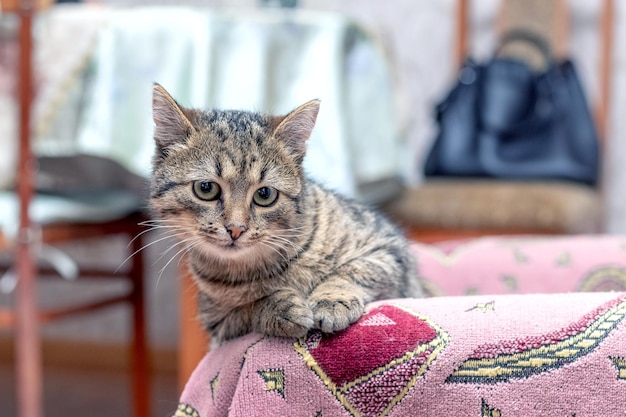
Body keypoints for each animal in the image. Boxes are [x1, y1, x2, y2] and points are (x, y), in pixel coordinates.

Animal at [149, 84, 422, 344]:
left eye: (265, 194)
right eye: (206, 188)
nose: (236, 228)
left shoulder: (389, 248)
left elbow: (356, 269)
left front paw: (332, 300)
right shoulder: (219, 323)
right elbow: (250, 307)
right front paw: (280, 306)